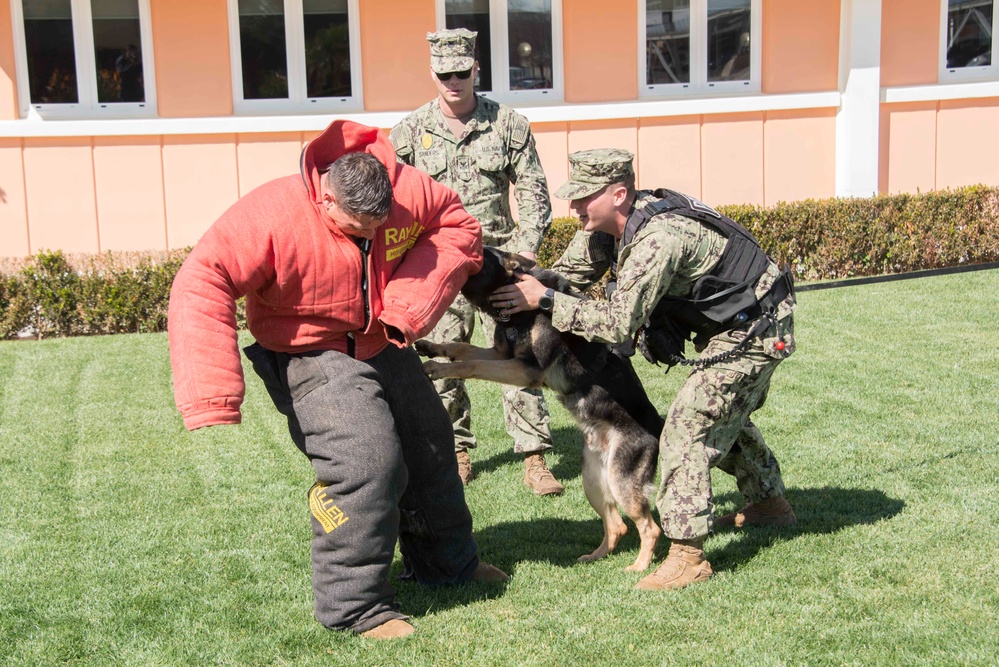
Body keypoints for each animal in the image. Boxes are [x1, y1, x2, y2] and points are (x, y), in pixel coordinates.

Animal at [414, 248, 664, 572]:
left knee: (650, 528)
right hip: (594, 480)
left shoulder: (525, 369)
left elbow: (470, 364)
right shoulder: (501, 355)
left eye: (479, 253)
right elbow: (460, 348)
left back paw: (639, 567)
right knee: (617, 526)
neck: (517, 299)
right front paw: (430, 347)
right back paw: (594, 557)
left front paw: (436, 367)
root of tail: (658, 427)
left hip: (622, 481)